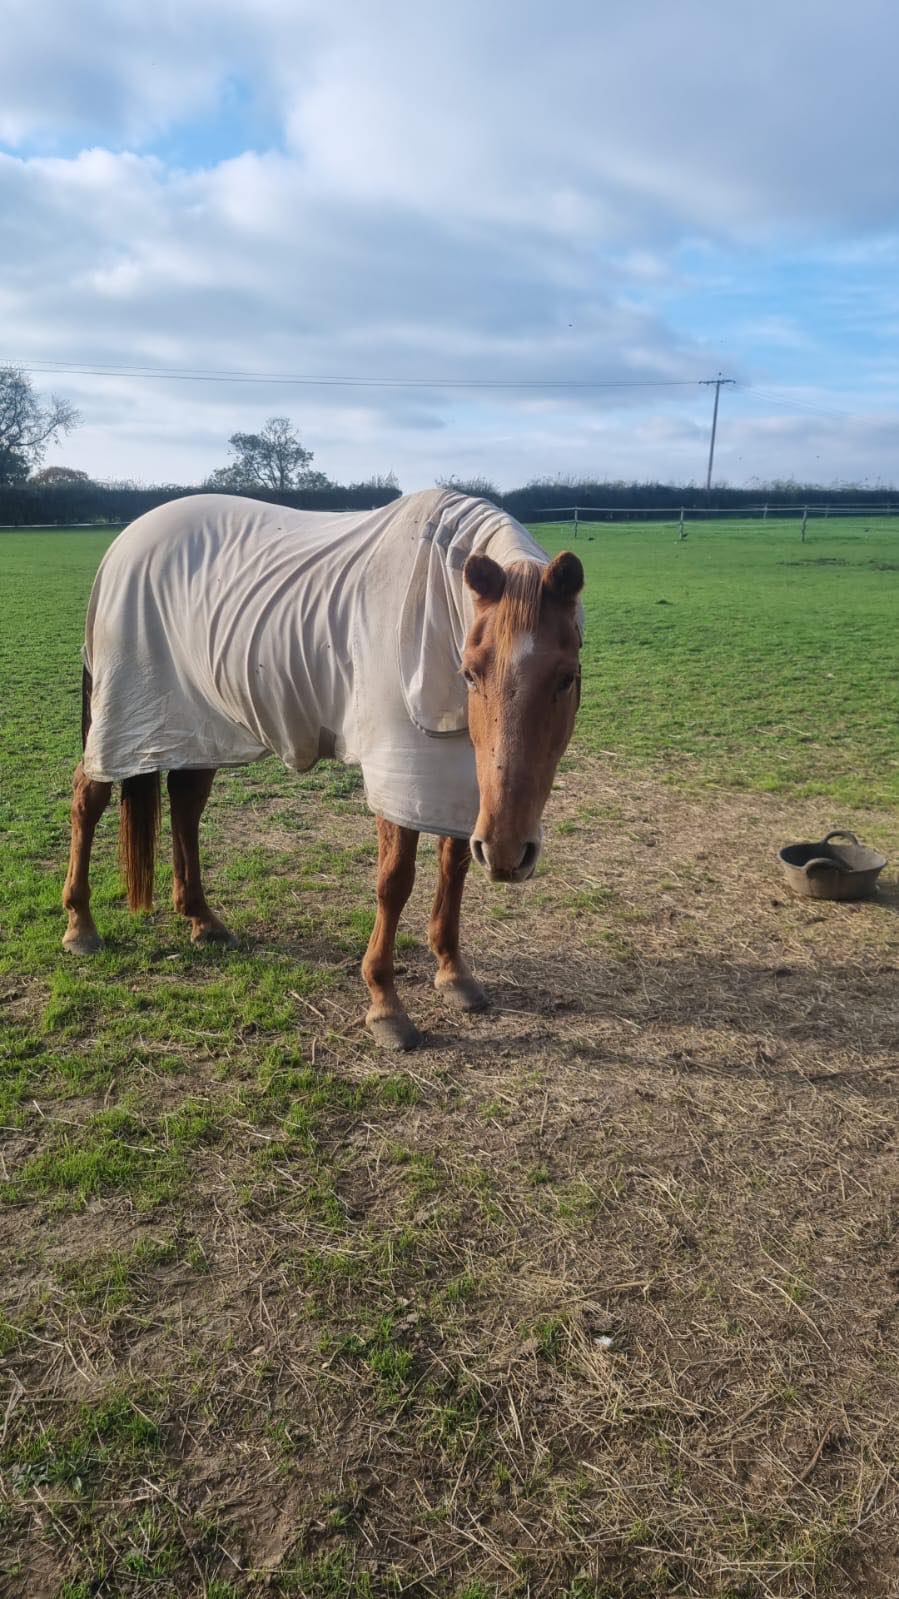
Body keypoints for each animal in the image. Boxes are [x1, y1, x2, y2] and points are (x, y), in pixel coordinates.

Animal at [62, 489, 584, 1048]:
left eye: (567, 676)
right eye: (470, 673)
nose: (509, 854)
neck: (437, 609)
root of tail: (125, 543)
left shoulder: (460, 780)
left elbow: (455, 865)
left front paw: (453, 974)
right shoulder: (401, 771)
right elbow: (394, 882)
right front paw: (385, 1005)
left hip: (193, 727)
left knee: (185, 802)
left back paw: (202, 919)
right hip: (123, 717)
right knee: (88, 798)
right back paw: (80, 924)